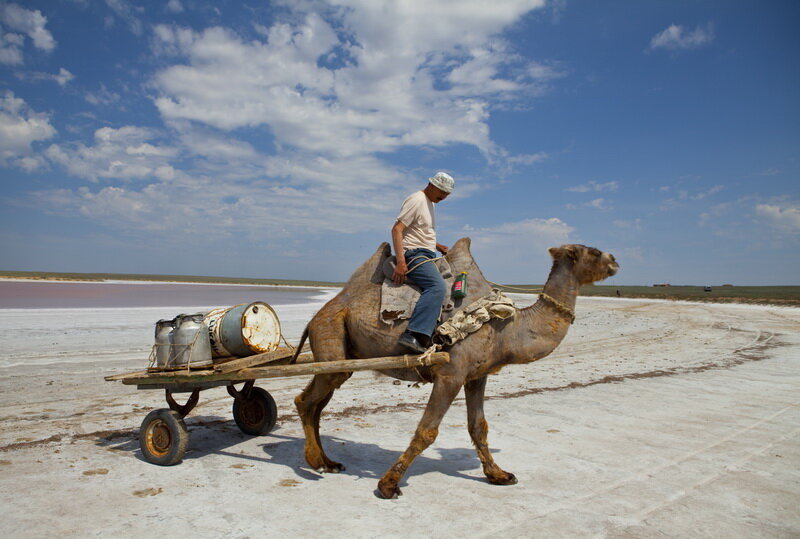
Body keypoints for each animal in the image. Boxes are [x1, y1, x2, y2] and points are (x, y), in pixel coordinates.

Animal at [292, 238, 620, 500]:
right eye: (593, 251)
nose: (616, 260)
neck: (504, 325)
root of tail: (316, 316)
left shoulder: (477, 376)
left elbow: (479, 426)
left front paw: (499, 475)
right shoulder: (451, 374)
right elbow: (427, 431)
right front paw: (388, 485)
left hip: (341, 356)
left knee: (316, 403)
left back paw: (326, 462)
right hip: (331, 336)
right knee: (306, 400)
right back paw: (316, 462)